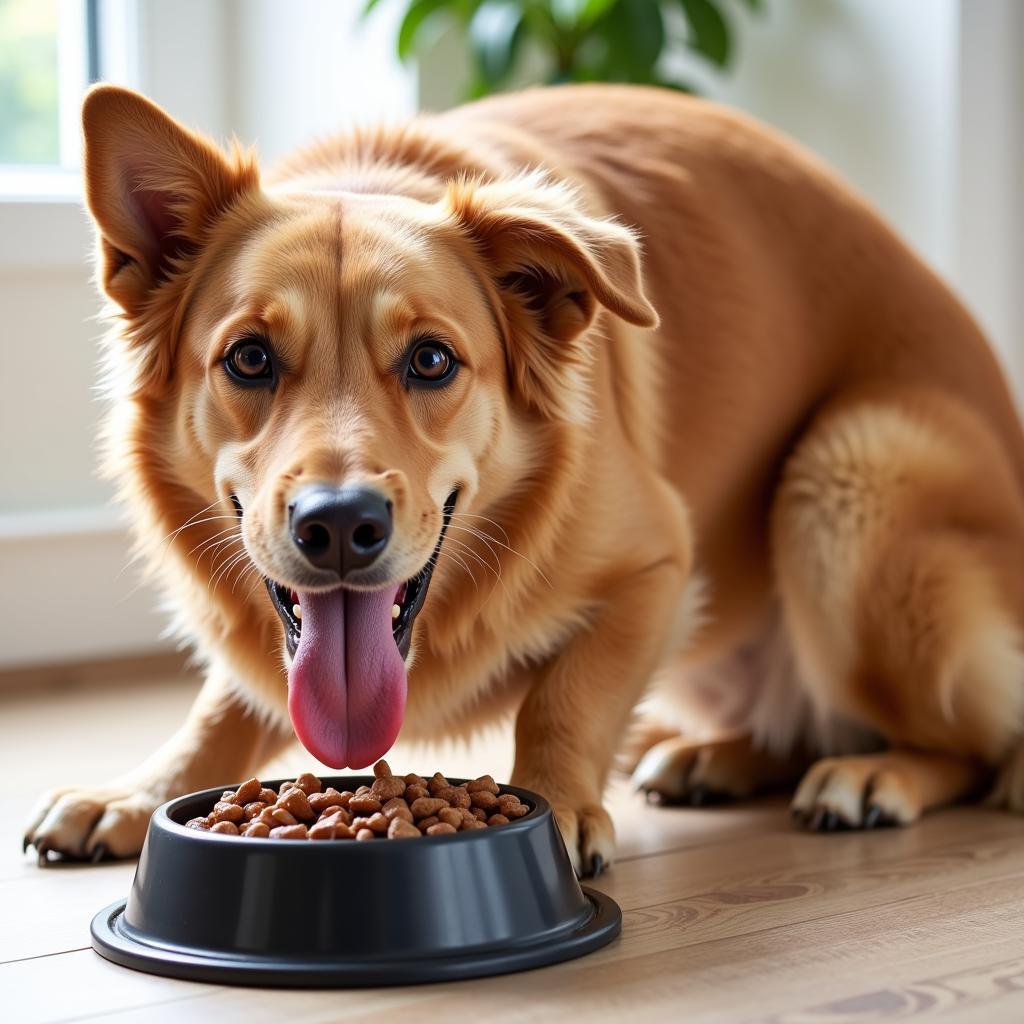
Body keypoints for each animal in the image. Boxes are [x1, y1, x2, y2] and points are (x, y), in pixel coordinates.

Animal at [22, 83, 1024, 876]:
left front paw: (558, 804)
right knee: (809, 723)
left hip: (846, 476)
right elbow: (226, 703)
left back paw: (873, 774)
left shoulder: (660, 564)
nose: (339, 525)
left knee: (976, 739)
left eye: (431, 360)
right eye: (249, 358)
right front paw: (135, 793)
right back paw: (711, 756)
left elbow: (564, 694)